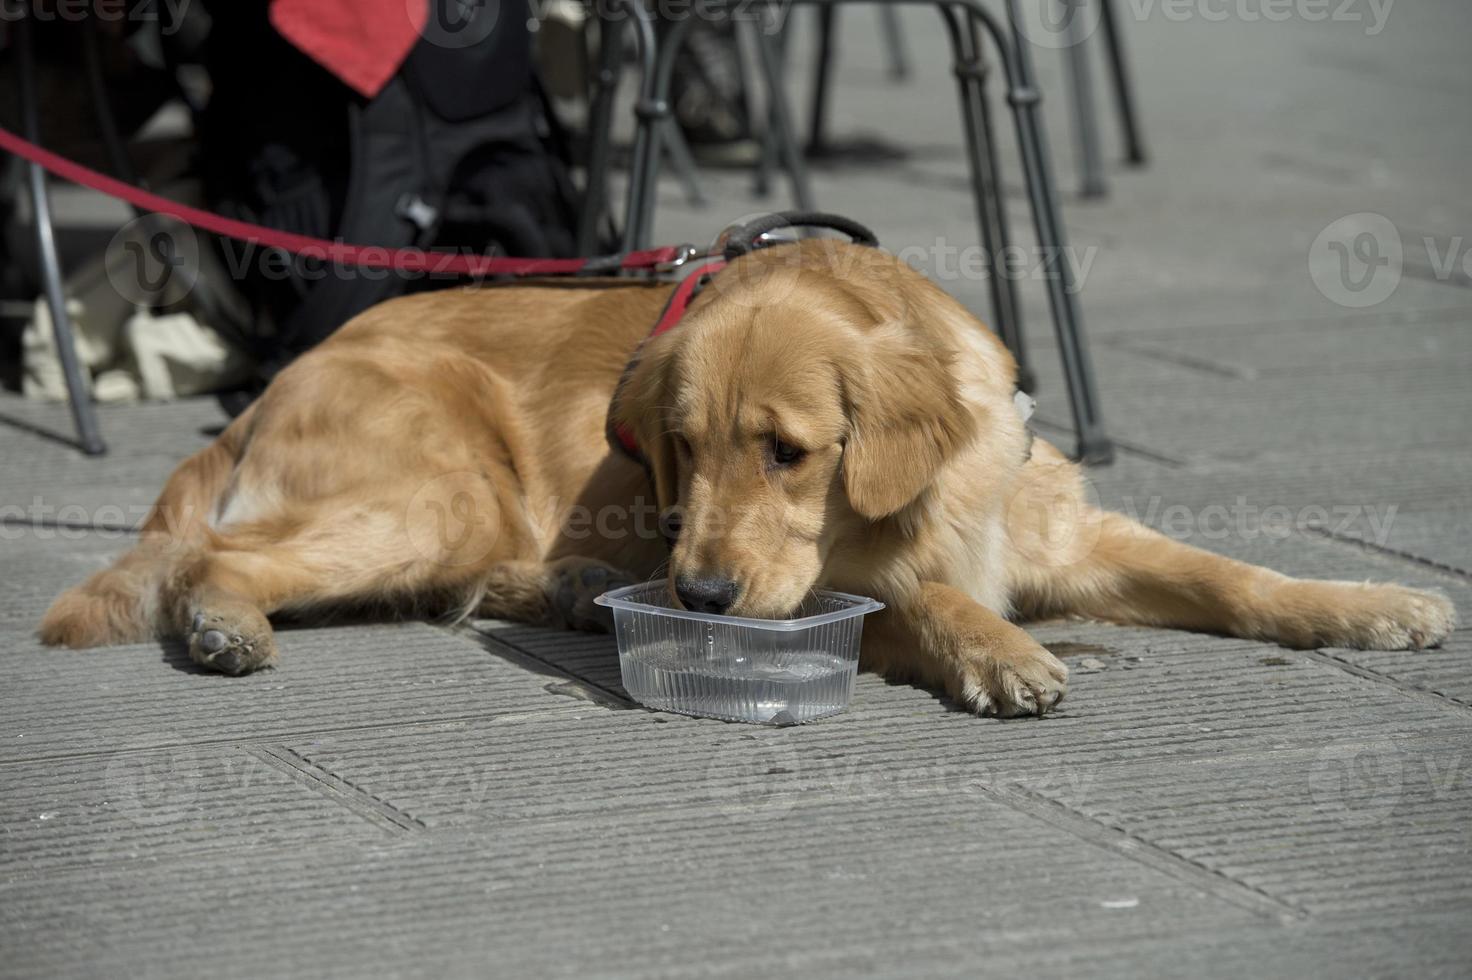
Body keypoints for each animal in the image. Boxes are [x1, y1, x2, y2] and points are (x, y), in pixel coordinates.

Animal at [37, 235, 1460, 709]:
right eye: (676, 445)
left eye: (785, 450)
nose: (702, 598)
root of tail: (274, 378)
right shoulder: (838, 588)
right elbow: (925, 600)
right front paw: (998, 650)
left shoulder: (1066, 534)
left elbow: (1231, 573)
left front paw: (1368, 605)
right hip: (437, 490)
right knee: (216, 555)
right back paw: (223, 622)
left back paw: (571, 591)